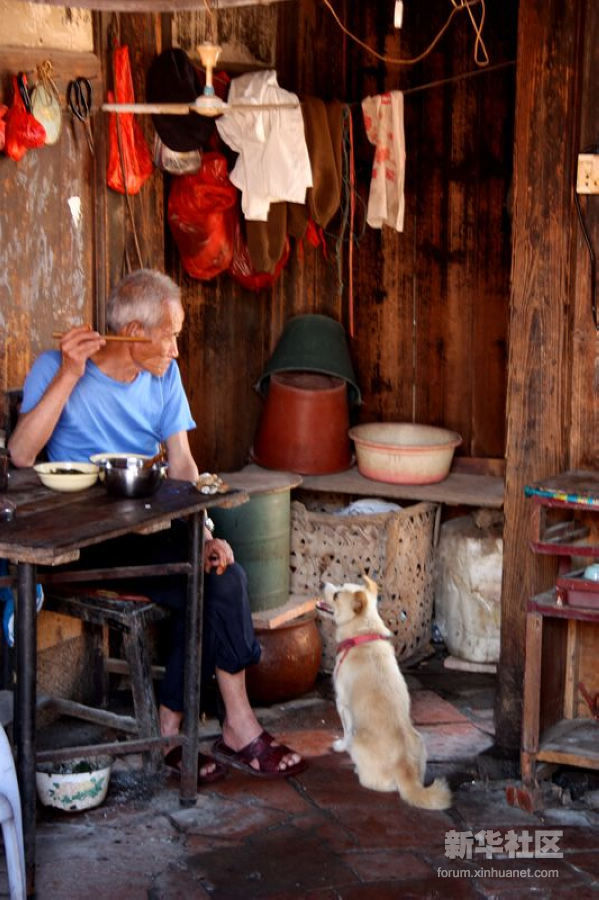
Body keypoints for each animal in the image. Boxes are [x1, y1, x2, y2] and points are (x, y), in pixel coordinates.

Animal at [318, 580, 450, 812]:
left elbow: (346, 731)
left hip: (360, 746)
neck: (364, 634)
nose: (322, 583)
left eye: (336, 595)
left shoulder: (342, 704)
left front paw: (341, 746)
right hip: (420, 741)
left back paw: (357, 769)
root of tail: (405, 769)